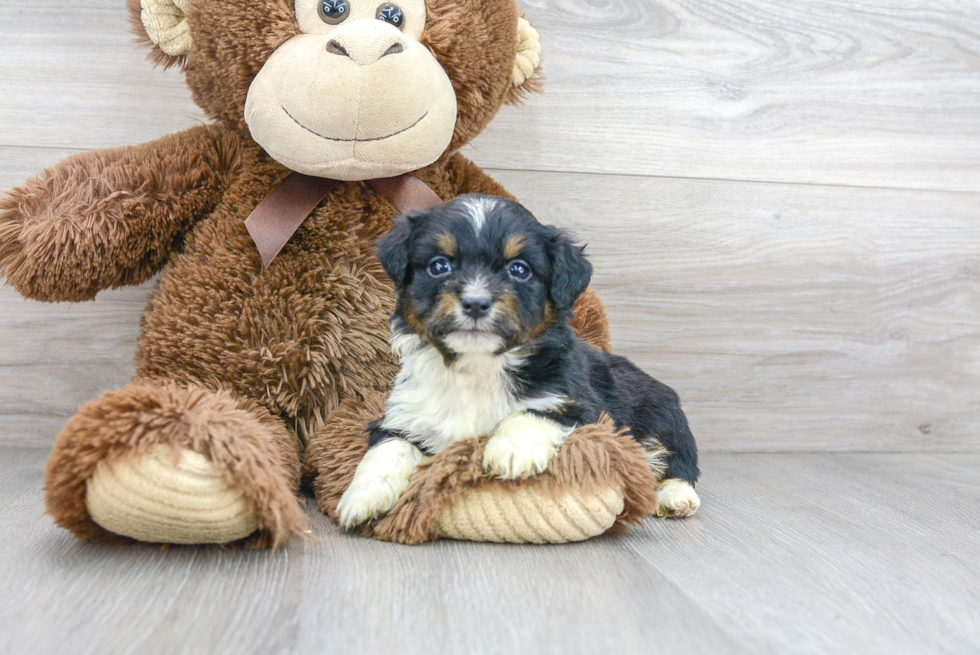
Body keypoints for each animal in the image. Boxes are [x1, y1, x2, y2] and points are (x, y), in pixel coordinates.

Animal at [336, 193, 696, 528]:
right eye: (440, 266)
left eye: (519, 270)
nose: (476, 303)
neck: (477, 367)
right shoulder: (403, 414)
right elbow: (388, 448)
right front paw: (362, 496)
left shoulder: (581, 405)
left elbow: (534, 410)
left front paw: (511, 451)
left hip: (664, 417)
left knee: (676, 460)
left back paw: (676, 496)